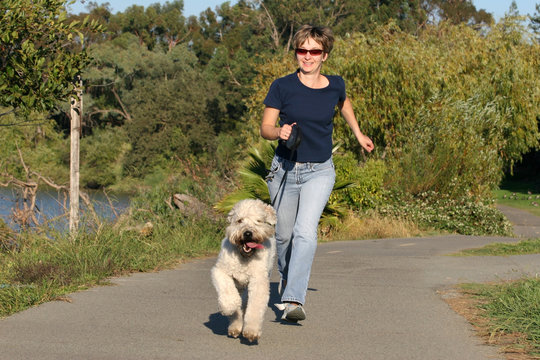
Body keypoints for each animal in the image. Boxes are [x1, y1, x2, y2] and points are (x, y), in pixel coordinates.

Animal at [210, 200, 276, 344]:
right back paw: (235, 326)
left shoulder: (258, 281)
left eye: (258, 221)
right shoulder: (221, 271)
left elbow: (255, 306)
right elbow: (229, 294)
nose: (248, 233)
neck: (244, 256)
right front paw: (228, 307)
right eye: (239, 220)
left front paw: (251, 331)